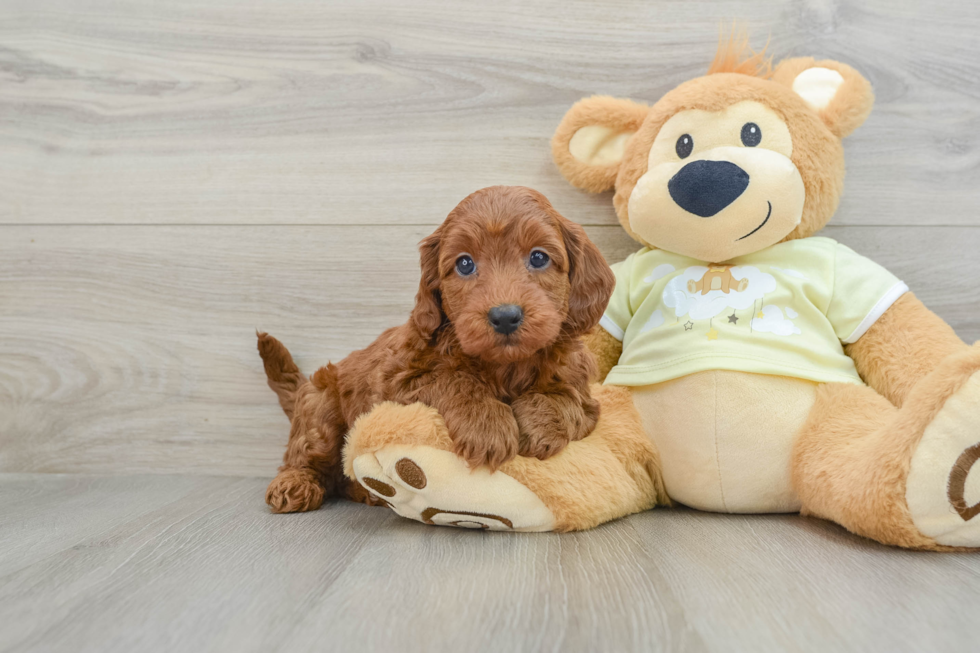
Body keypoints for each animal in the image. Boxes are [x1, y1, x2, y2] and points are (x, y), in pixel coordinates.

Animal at [258, 186, 612, 512]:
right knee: (306, 456)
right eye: (465, 264)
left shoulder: (582, 392)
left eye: (538, 257)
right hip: (320, 414)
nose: (505, 316)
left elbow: (564, 399)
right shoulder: (400, 380)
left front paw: (540, 427)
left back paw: (367, 491)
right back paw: (294, 484)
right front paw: (487, 426)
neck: (504, 364)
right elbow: (453, 380)